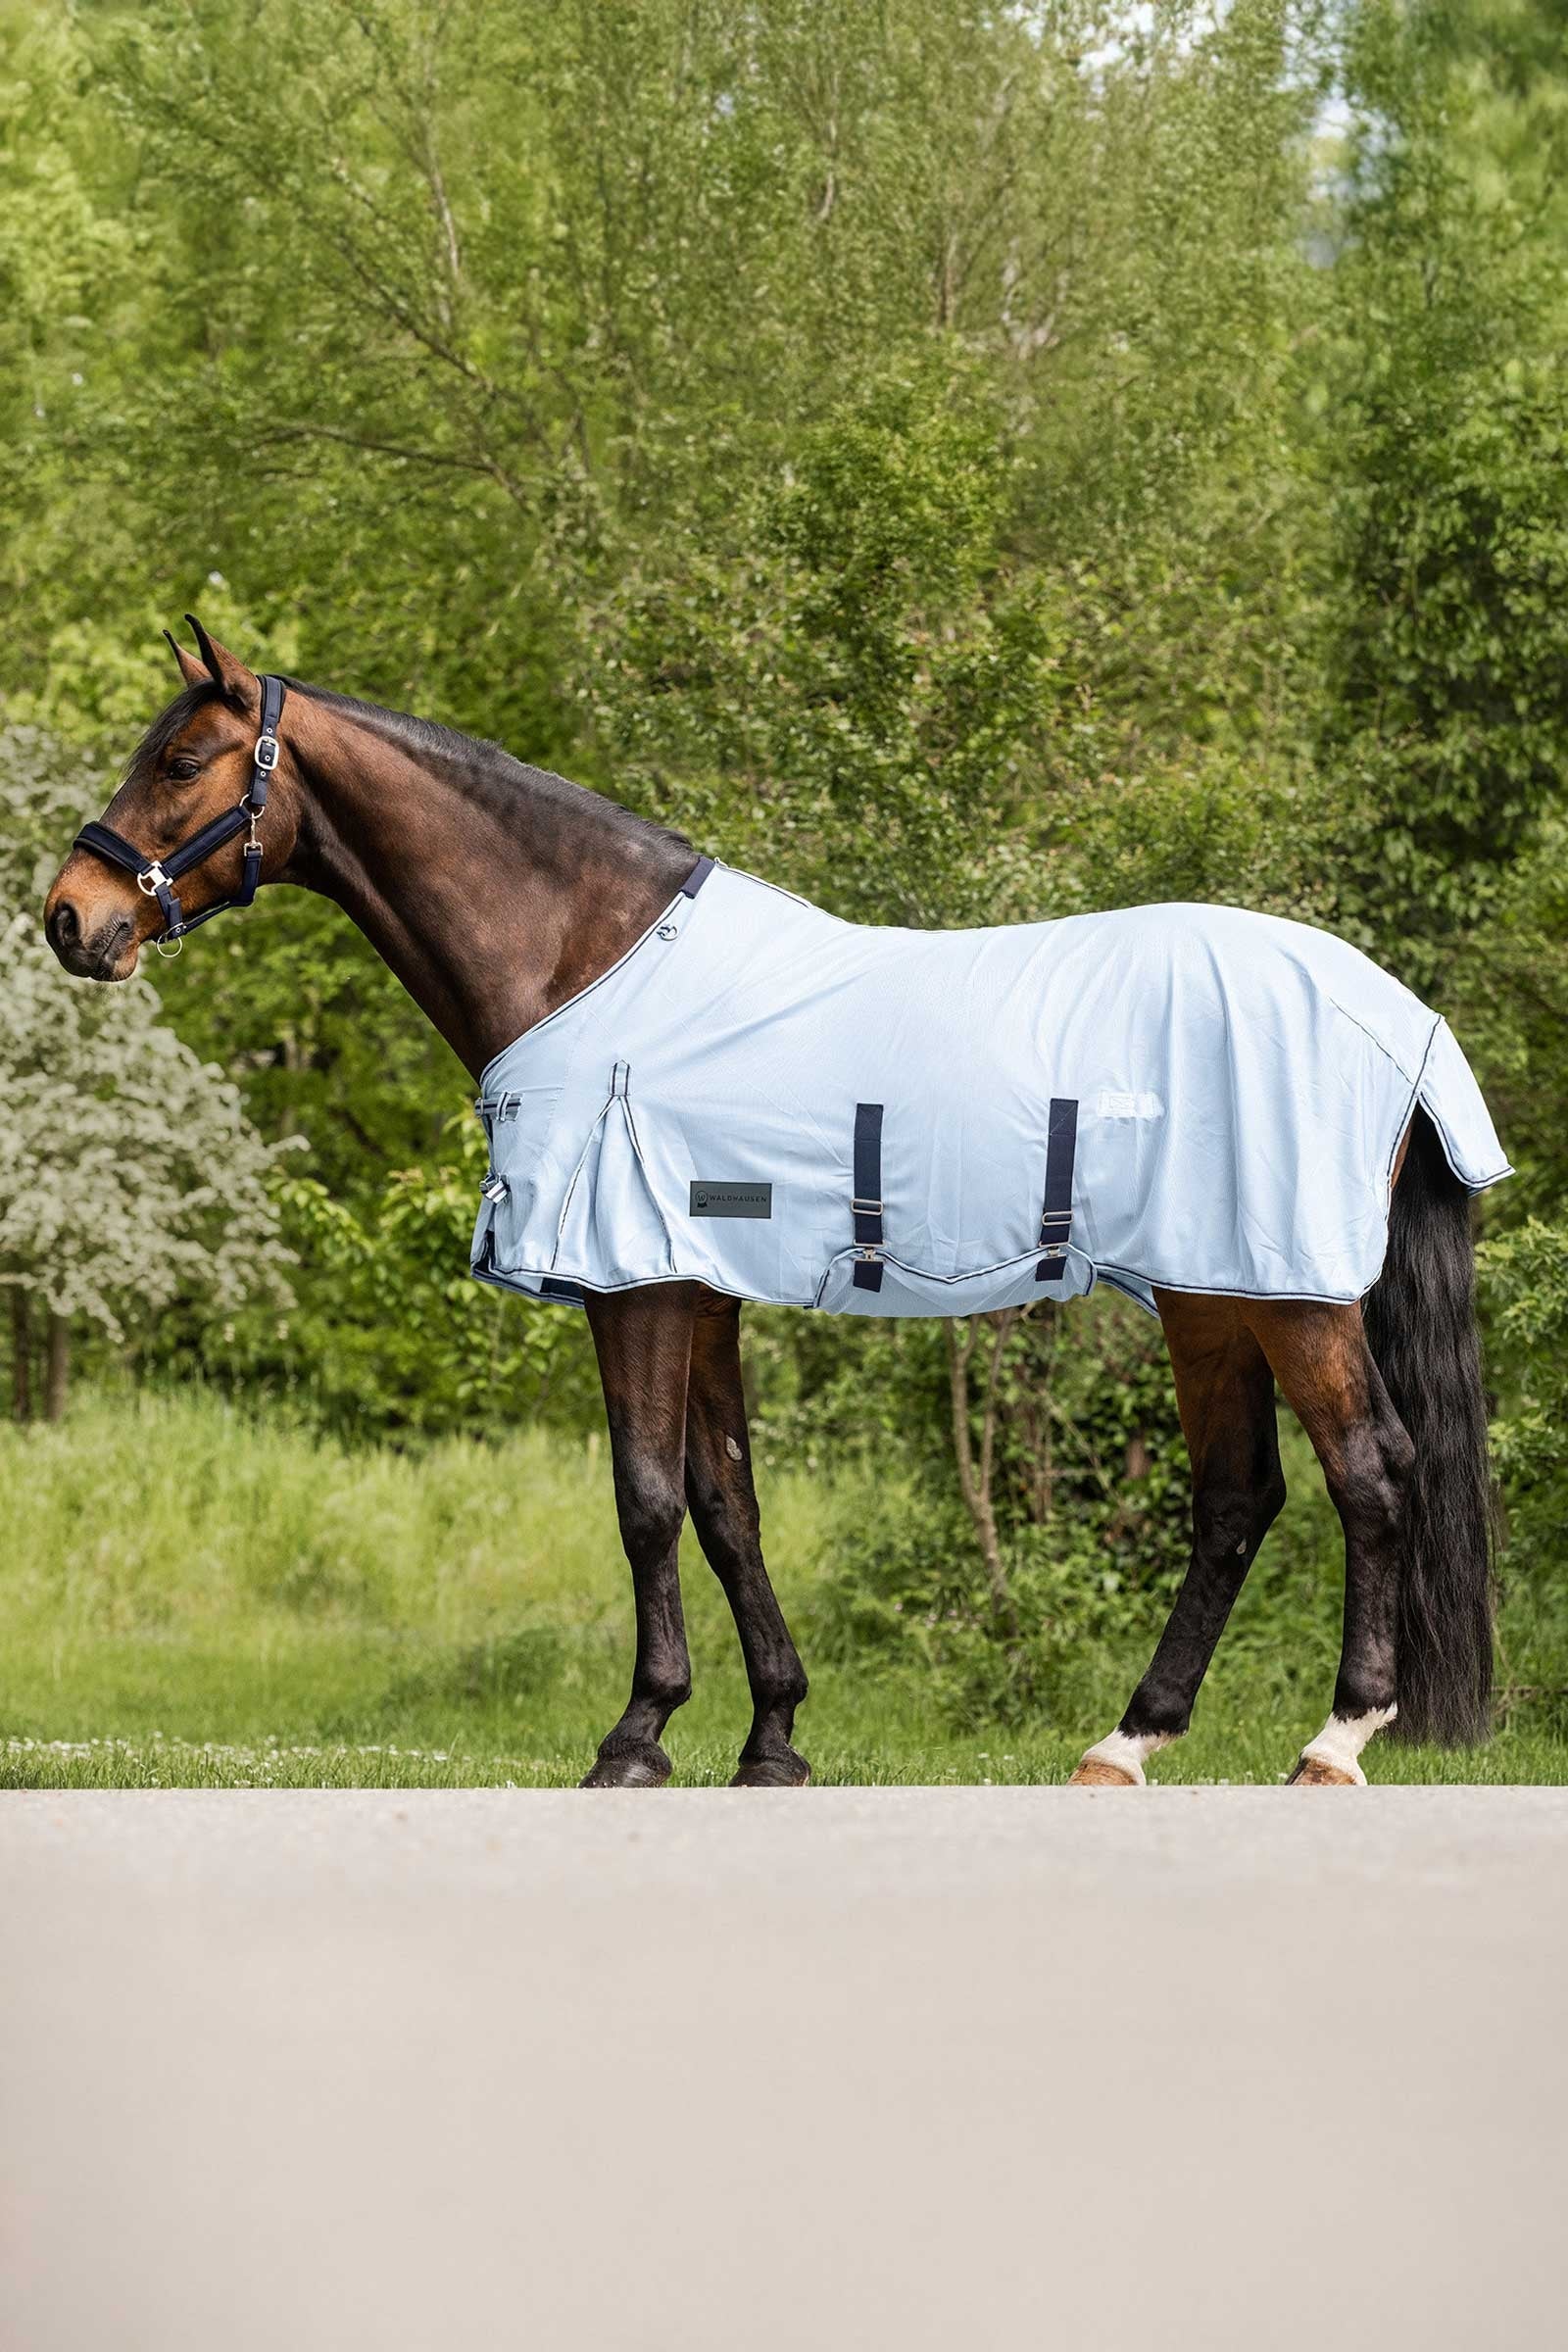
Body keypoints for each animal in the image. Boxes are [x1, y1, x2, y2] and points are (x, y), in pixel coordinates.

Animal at [43, 623, 1502, 1789]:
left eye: (182, 761)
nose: (70, 917)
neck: (588, 956)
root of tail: (1399, 1014)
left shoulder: (634, 1286)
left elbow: (644, 1498)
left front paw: (636, 1737)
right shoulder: (700, 1292)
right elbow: (725, 1501)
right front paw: (773, 1739)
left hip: (1289, 1294)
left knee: (1372, 1472)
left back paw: (1333, 1743)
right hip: (1209, 1293)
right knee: (1238, 1498)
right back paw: (1127, 1742)